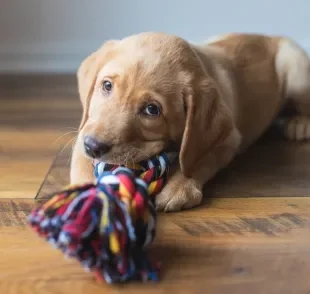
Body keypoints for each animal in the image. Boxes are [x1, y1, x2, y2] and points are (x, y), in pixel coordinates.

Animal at [69, 31, 310, 211]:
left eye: (152, 109)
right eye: (107, 85)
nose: (94, 147)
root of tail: (272, 37)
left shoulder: (228, 139)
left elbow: (197, 159)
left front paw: (180, 187)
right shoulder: (85, 129)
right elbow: (80, 160)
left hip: (297, 75)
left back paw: (300, 124)